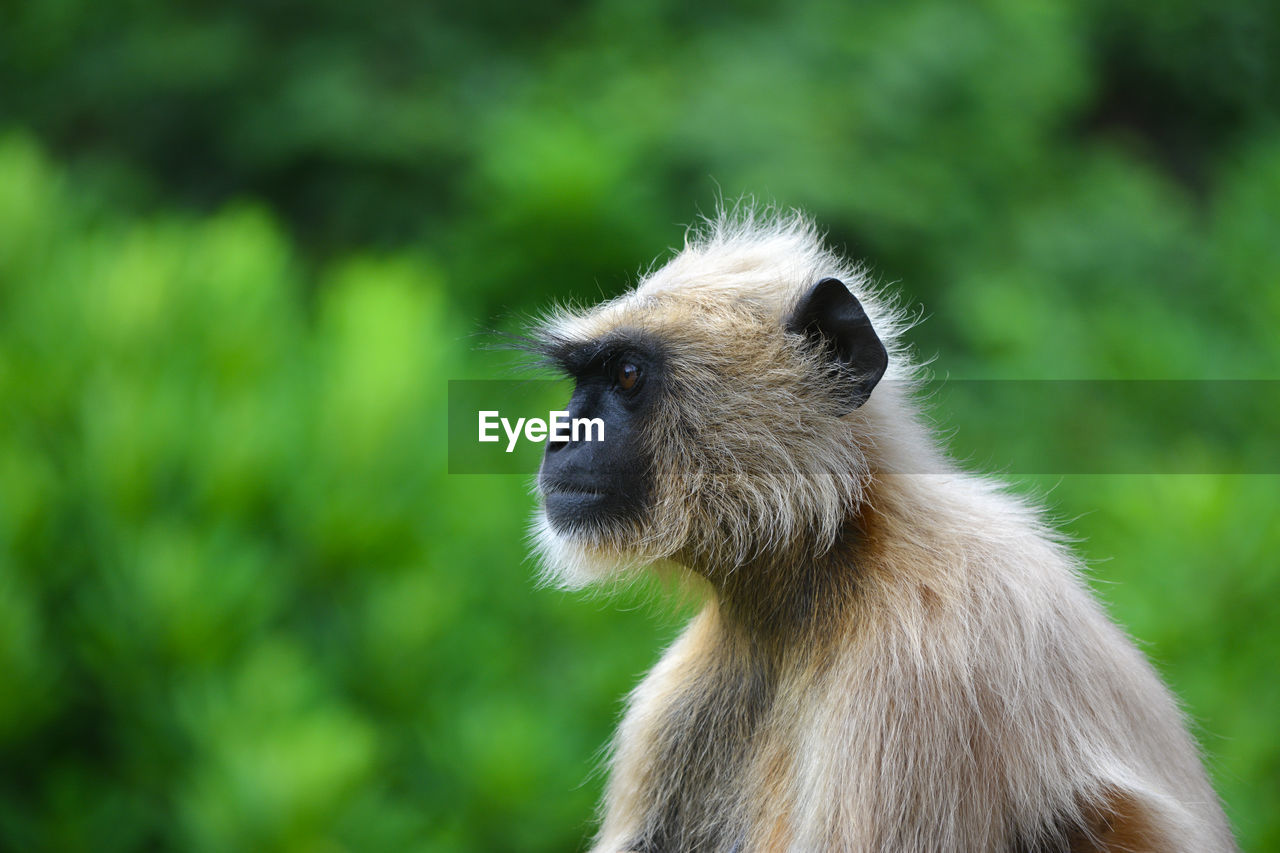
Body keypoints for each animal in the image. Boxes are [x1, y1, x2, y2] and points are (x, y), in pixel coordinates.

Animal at [519, 207, 1239, 850]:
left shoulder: (926, 666)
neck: (825, 575)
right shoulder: (679, 702)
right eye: (582, 380)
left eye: (627, 374)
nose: (559, 435)